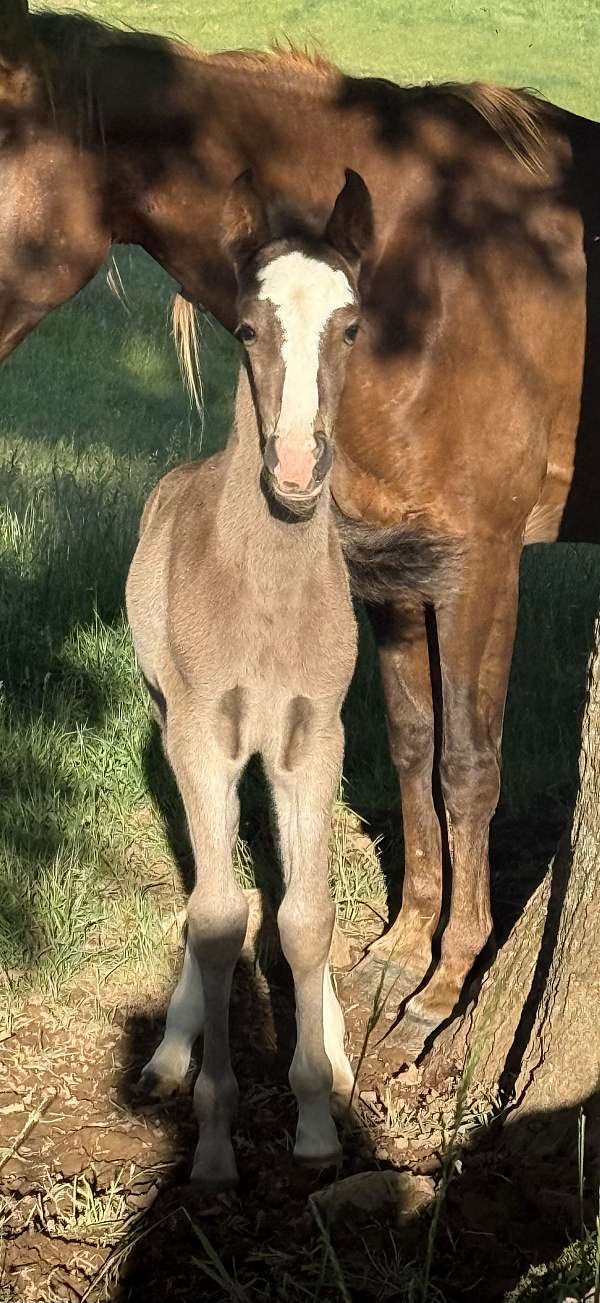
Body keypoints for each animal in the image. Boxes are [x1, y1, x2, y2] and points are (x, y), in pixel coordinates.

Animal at [2, 3, 600, 1061]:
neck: (432, 270)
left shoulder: (482, 563)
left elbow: (468, 766)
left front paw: (443, 990)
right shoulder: (392, 568)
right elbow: (410, 748)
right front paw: (401, 949)